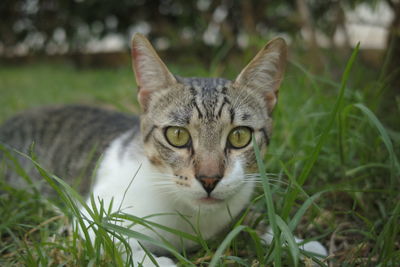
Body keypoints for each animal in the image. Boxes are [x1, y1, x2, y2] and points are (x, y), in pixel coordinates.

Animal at [0, 33, 326, 266]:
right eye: (177, 135)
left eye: (239, 136)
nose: (209, 179)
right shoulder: (88, 221)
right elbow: (115, 242)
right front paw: (157, 260)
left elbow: (254, 218)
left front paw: (296, 241)